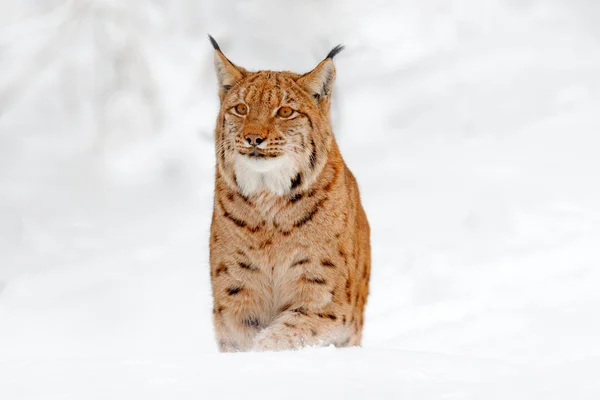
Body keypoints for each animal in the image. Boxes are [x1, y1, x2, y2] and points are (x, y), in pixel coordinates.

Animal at [210, 36, 370, 352]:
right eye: (241, 109)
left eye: (285, 112)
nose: (253, 138)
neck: (268, 197)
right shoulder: (234, 297)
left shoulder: (328, 302)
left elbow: (282, 336)